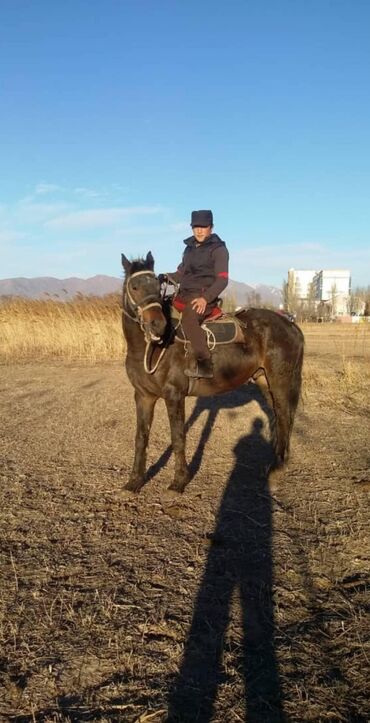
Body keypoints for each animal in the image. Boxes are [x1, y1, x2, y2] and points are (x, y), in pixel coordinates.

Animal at [121, 252, 304, 494]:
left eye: (156, 287)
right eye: (134, 286)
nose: (157, 325)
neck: (152, 348)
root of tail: (290, 324)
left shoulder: (174, 395)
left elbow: (178, 437)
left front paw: (179, 481)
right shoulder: (143, 396)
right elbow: (141, 437)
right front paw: (135, 481)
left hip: (281, 381)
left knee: (284, 417)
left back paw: (277, 469)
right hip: (265, 381)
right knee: (279, 417)